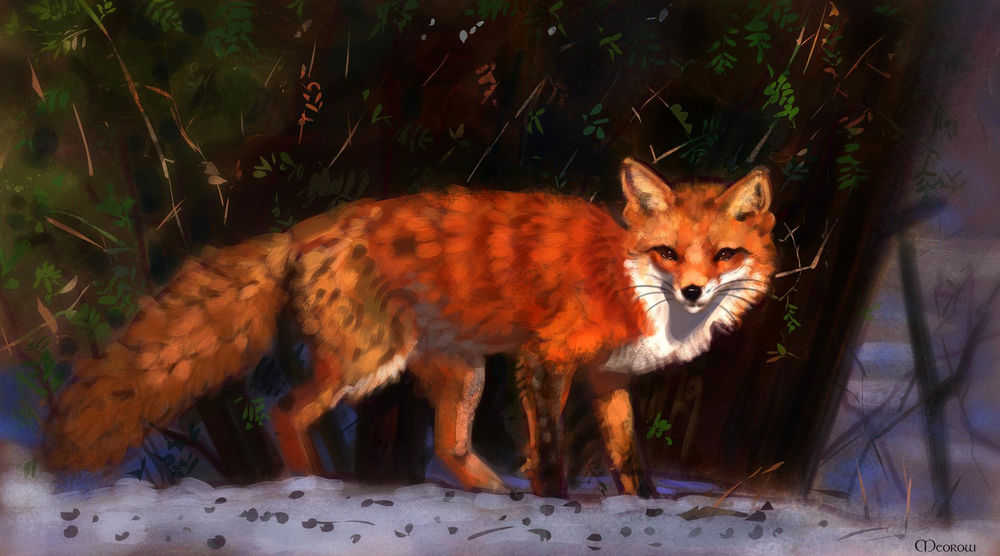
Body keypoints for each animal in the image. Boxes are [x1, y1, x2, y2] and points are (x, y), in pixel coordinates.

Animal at [44, 158, 776, 498]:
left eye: (723, 255)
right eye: (667, 252)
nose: (693, 290)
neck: (631, 279)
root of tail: (305, 230)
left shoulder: (608, 380)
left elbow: (630, 461)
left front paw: (641, 505)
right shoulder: (546, 358)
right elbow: (548, 452)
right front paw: (560, 501)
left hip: (462, 373)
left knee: (448, 448)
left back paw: (491, 491)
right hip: (368, 360)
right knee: (285, 411)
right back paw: (316, 486)